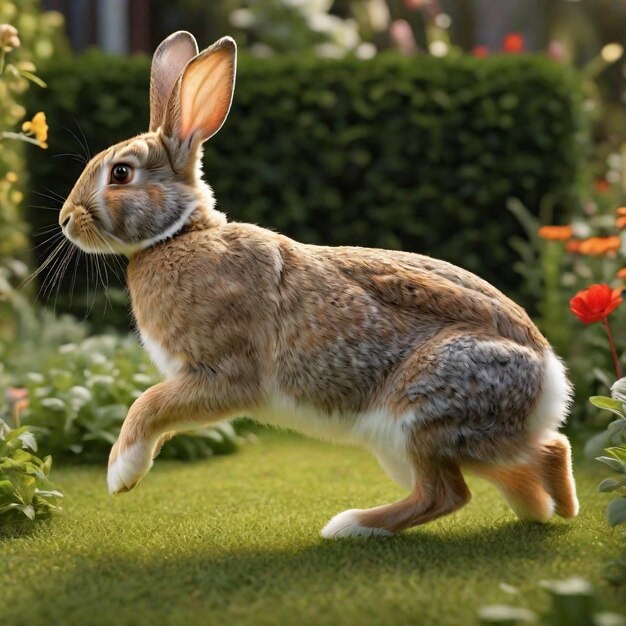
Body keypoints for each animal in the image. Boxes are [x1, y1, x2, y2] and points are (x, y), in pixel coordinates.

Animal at [58, 30, 576, 536]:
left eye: (120, 173)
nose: (65, 220)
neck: (180, 235)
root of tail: (550, 377)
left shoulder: (224, 374)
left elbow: (148, 404)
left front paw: (121, 473)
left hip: (420, 415)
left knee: (450, 491)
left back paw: (351, 525)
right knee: (539, 456)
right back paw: (549, 509)